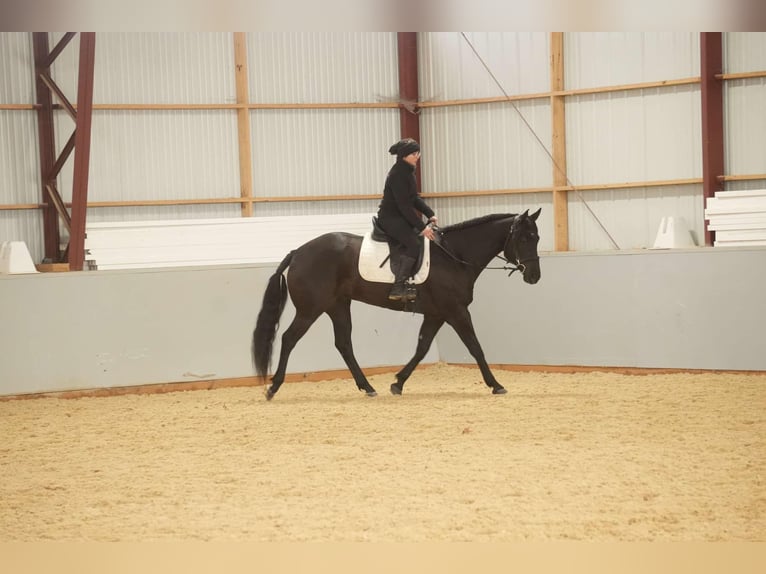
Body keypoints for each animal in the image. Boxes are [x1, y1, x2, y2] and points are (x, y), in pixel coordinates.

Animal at [255, 208, 544, 400]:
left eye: (537, 237)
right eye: (524, 238)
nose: (534, 276)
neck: (454, 256)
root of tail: (298, 252)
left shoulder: (437, 314)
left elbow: (422, 347)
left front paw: (398, 383)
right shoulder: (456, 311)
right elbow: (475, 347)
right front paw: (495, 384)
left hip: (338, 306)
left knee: (343, 344)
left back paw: (368, 387)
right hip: (311, 309)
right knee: (289, 339)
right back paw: (273, 387)